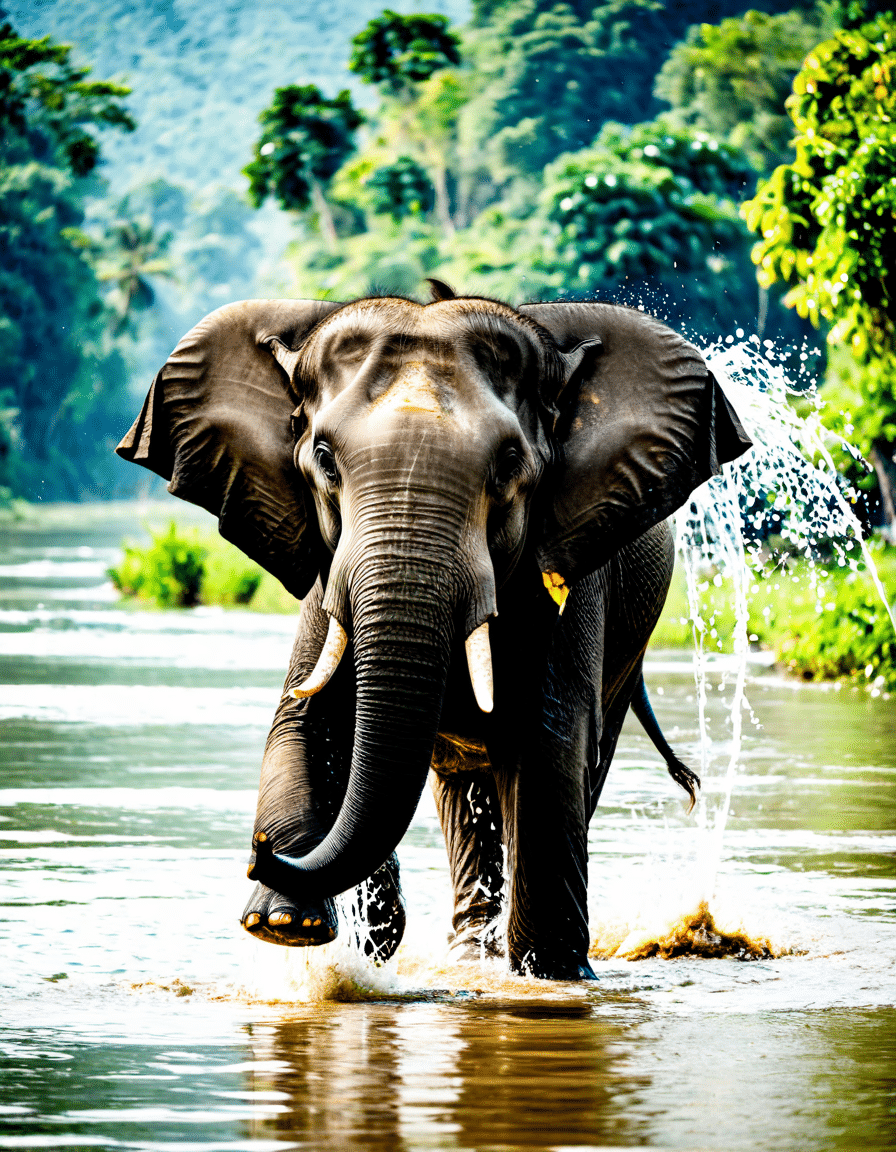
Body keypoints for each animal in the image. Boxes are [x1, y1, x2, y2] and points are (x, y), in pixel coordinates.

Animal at [116, 281, 750, 980]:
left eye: (508, 463)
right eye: (323, 459)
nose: (258, 850)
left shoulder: (569, 566)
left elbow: (548, 744)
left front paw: (551, 975)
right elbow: (303, 718)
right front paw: (288, 924)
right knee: (462, 785)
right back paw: (468, 955)